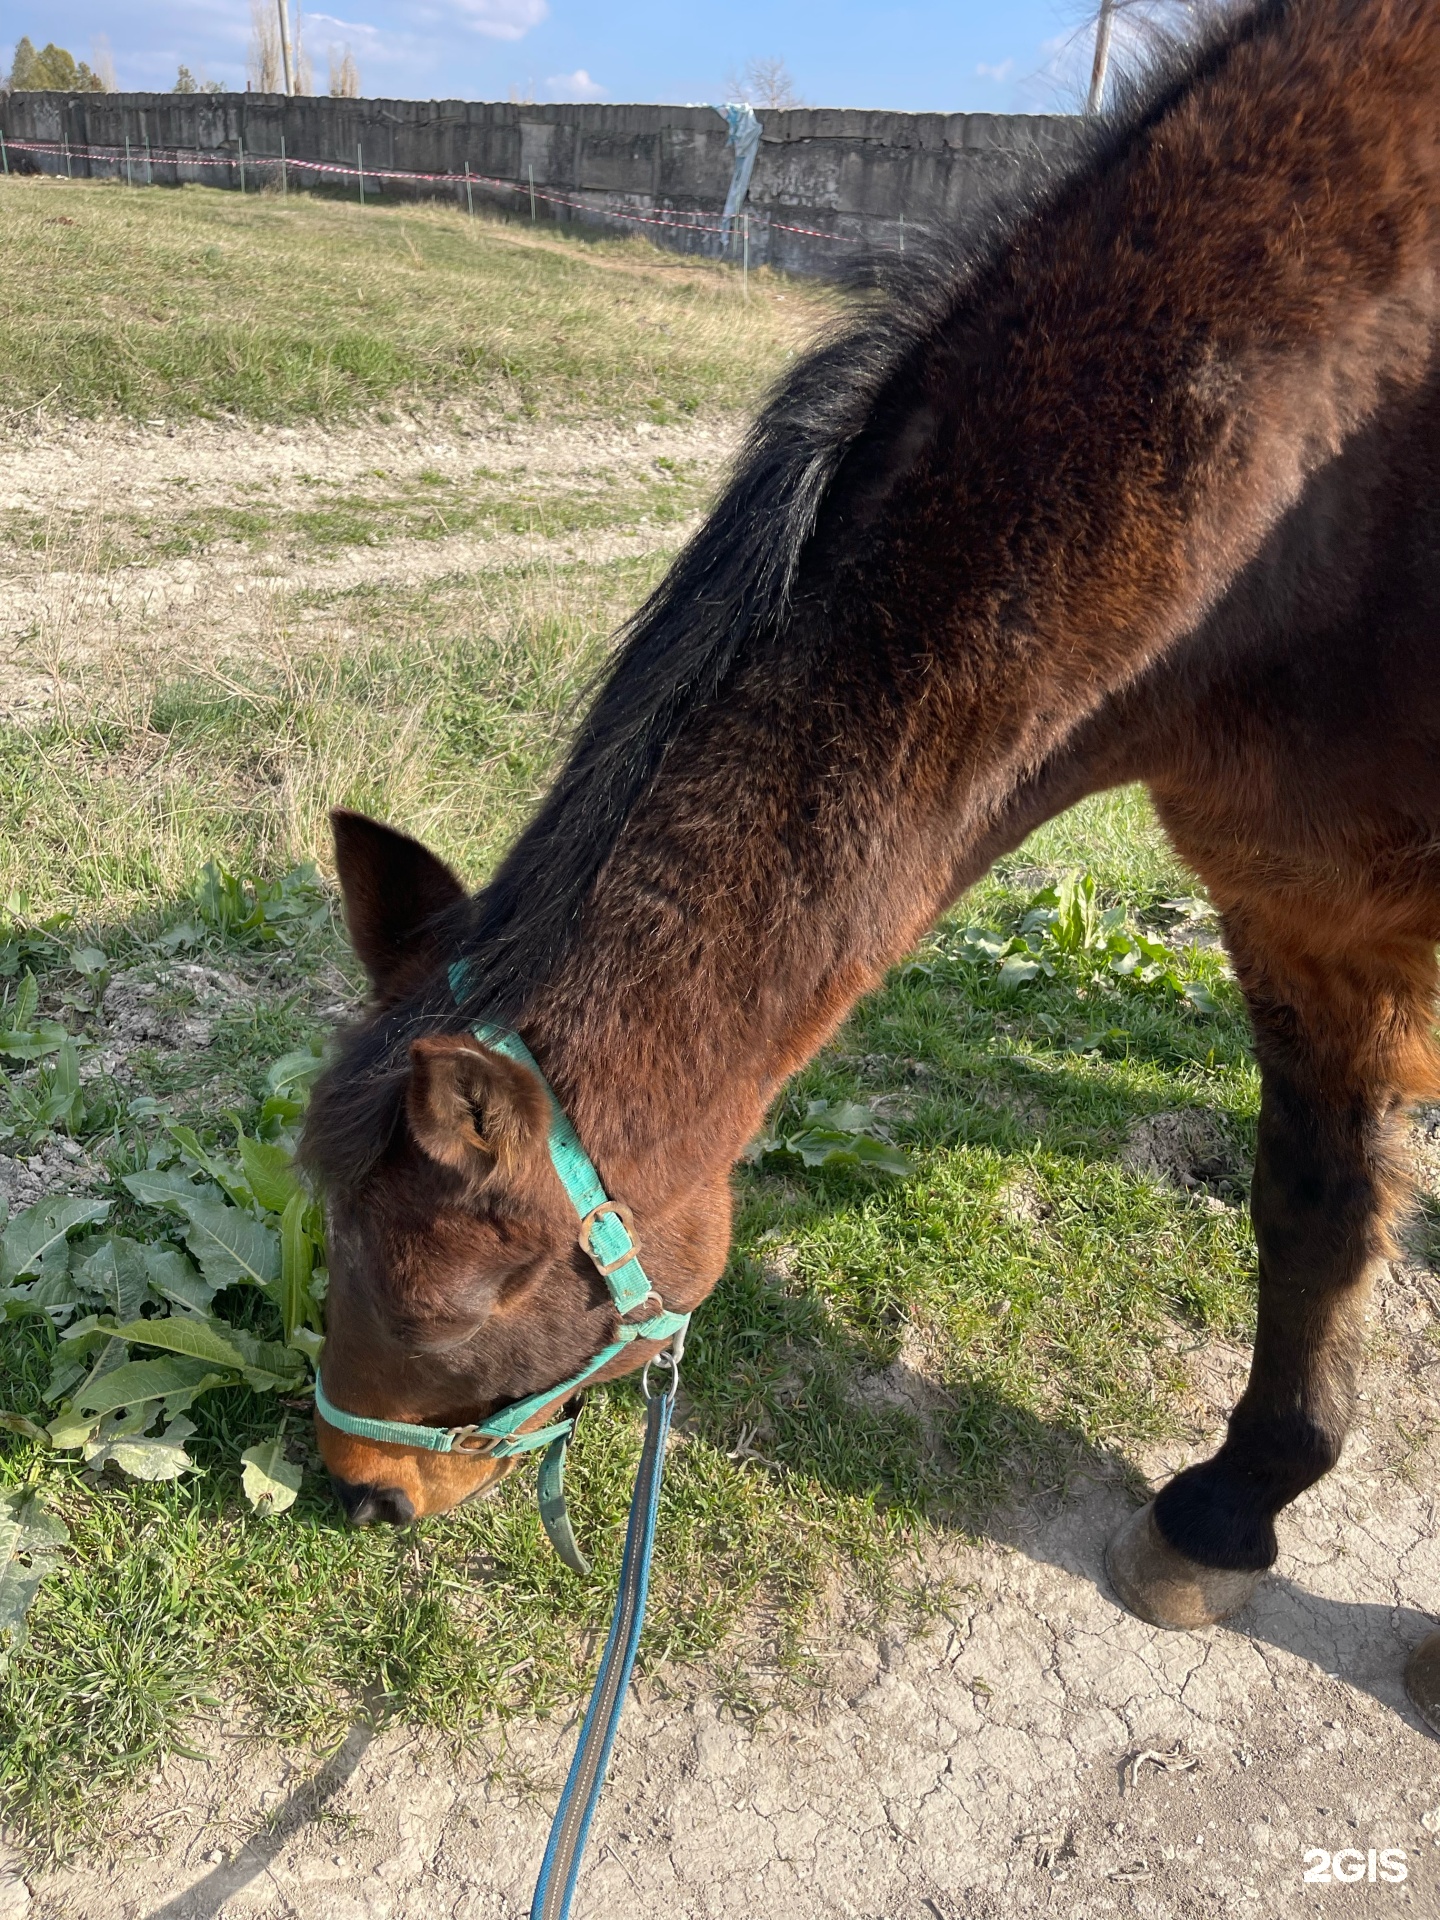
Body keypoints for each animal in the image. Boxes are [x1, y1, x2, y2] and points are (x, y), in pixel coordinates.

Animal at [299, 0, 1440, 1712]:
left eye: (448, 1312)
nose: (357, 1495)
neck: (1326, 460)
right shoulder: (1298, 908)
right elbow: (1311, 1204)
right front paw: (1236, 1507)